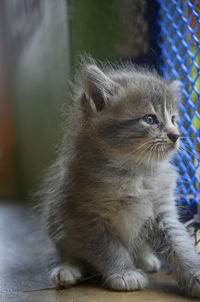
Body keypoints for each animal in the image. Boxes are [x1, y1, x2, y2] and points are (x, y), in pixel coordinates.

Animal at [38, 60, 200, 296]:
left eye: (173, 119)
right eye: (150, 119)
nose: (176, 135)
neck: (136, 174)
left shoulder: (163, 213)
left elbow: (180, 246)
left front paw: (194, 273)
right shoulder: (86, 217)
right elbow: (110, 250)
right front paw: (125, 273)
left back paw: (146, 259)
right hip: (56, 218)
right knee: (66, 251)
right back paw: (66, 270)